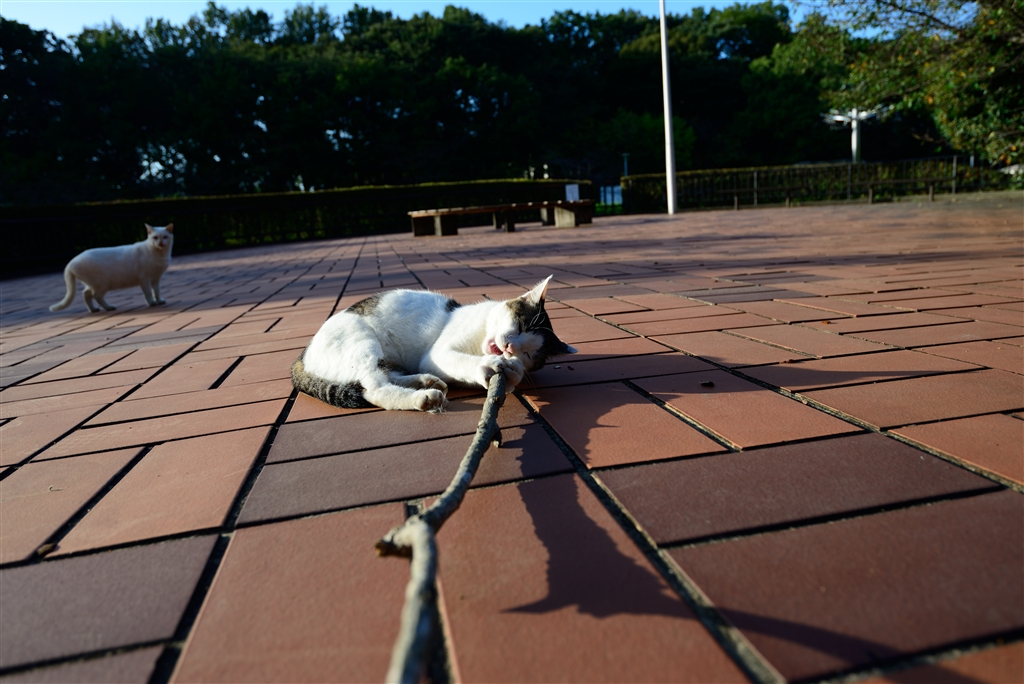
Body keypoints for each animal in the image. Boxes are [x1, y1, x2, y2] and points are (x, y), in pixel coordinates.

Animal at [292, 276, 576, 411]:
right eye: (518, 326)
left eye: (528, 354)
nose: (509, 348)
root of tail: (303, 355)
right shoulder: (436, 355)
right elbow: (457, 360)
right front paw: (486, 364)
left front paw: (513, 373)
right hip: (362, 343)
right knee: (373, 389)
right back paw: (423, 398)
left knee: (386, 375)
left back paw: (423, 382)